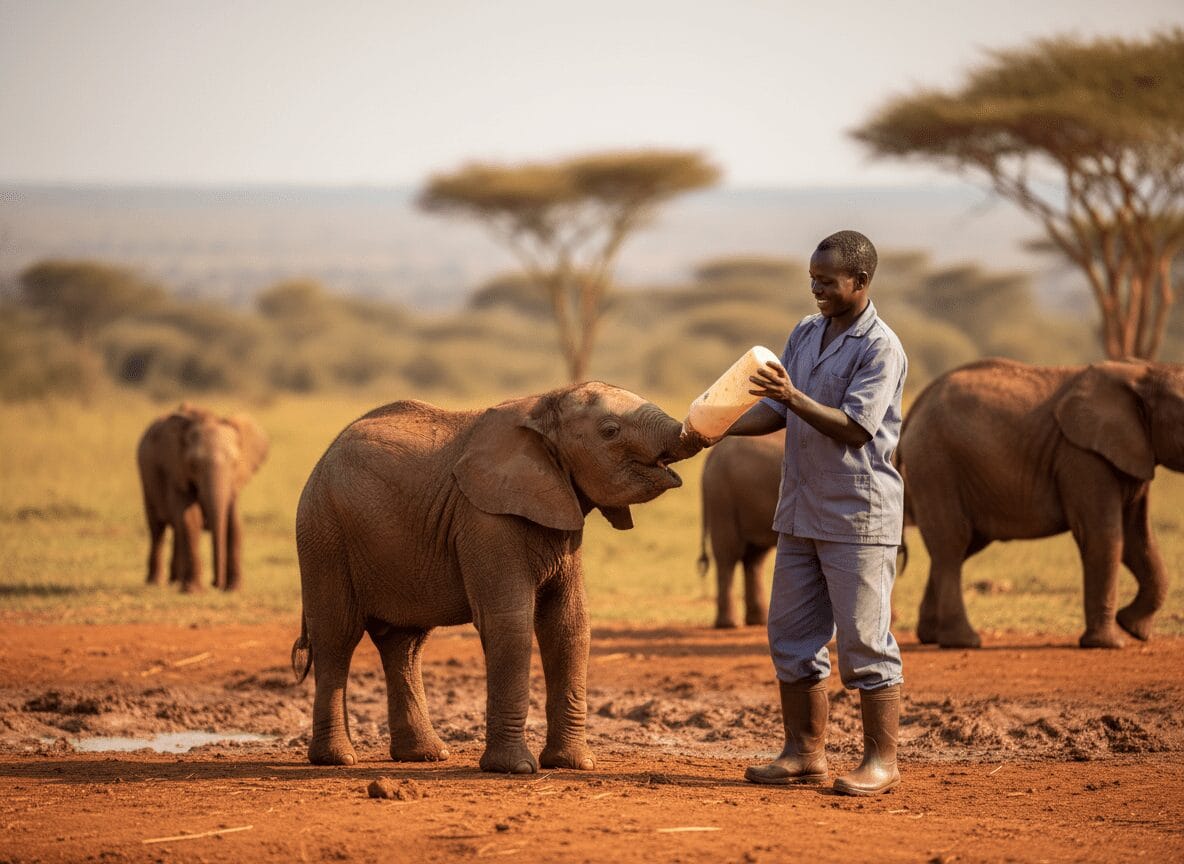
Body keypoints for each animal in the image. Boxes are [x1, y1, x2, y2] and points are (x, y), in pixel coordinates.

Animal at [137, 404, 269, 592]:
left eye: (234, 463)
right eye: (193, 465)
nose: (215, 583)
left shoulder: (234, 483)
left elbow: (234, 523)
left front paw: (234, 589)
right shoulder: (176, 471)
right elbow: (190, 519)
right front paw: (194, 591)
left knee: (176, 530)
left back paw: (175, 580)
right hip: (147, 480)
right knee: (157, 529)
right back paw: (156, 583)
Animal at [290, 382, 701, 772]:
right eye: (610, 431)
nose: (693, 431)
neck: (543, 407)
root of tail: (325, 456)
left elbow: (568, 625)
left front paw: (573, 764)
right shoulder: (484, 518)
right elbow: (509, 623)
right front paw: (516, 768)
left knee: (404, 643)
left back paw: (426, 755)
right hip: (323, 531)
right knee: (337, 636)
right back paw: (338, 759)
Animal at [697, 430, 784, 628]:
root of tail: (712, 454)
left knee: (754, 557)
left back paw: (757, 621)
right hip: (722, 497)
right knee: (729, 554)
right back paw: (729, 624)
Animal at [899, 358, 1184, 649]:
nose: (1126, 629)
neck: (1144, 372)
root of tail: (918, 404)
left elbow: (1138, 540)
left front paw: (1133, 628)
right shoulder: (1081, 456)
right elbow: (1103, 535)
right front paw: (1109, 644)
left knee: (962, 545)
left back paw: (931, 636)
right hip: (935, 463)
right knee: (952, 543)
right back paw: (964, 641)